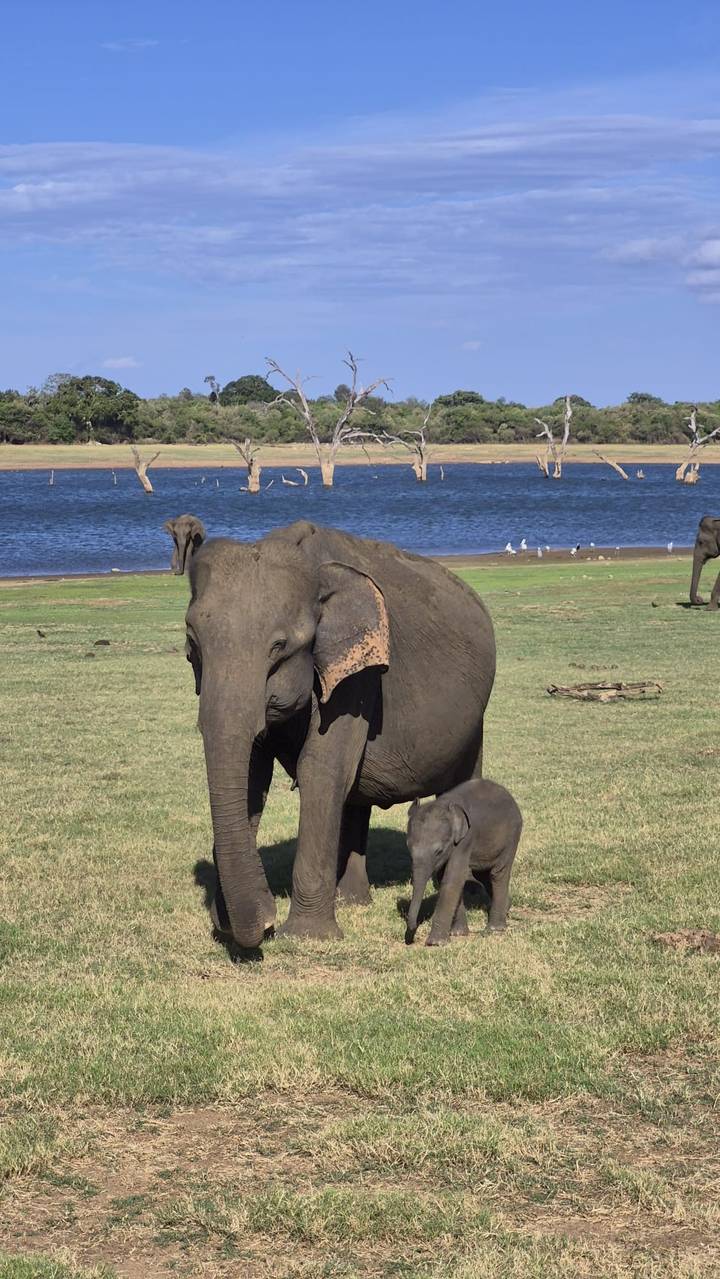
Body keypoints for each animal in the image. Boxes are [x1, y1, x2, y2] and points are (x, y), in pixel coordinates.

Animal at [183, 520, 496, 948]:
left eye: (279, 646)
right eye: (192, 642)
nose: (266, 923)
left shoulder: (361, 676)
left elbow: (320, 769)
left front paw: (307, 935)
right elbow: (252, 777)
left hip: (474, 718)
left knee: (462, 778)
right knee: (355, 794)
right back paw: (351, 900)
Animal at [404, 779, 522, 947]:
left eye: (439, 851)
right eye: (409, 847)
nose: (411, 938)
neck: (443, 804)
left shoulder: (465, 840)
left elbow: (453, 878)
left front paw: (436, 943)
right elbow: (447, 878)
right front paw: (458, 933)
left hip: (511, 836)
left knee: (498, 874)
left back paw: (494, 929)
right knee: (483, 876)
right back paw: (507, 907)